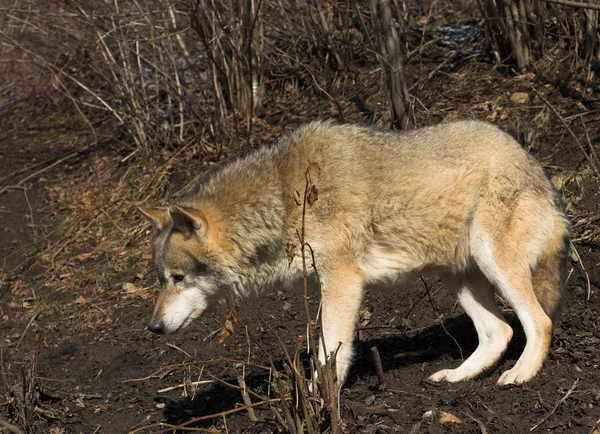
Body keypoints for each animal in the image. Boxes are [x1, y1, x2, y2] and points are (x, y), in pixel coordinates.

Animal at [138, 119, 568, 386]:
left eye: (179, 278)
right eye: (162, 281)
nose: (153, 327)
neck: (284, 199)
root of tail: (535, 167)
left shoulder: (342, 282)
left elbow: (329, 354)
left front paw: (318, 399)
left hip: (493, 263)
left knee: (540, 322)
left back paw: (521, 374)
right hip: (458, 277)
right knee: (500, 332)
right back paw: (456, 377)